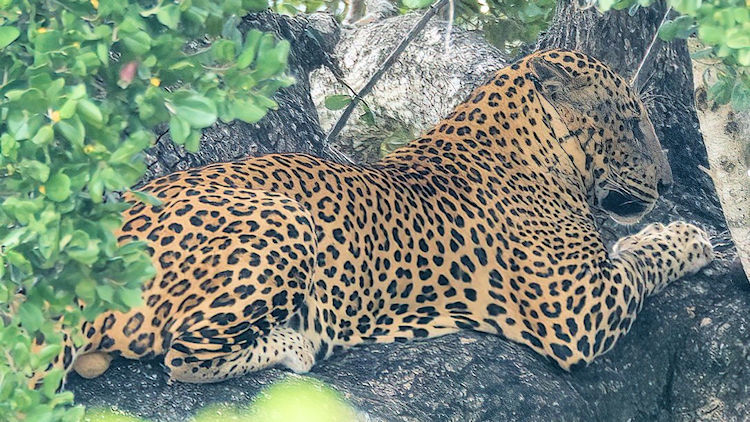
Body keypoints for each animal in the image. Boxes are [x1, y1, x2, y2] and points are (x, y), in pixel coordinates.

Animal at [32, 48, 714, 388]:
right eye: (631, 121)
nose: (670, 183)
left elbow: (631, 250)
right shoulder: (576, 310)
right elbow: (644, 259)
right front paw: (688, 235)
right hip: (281, 219)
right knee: (183, 359)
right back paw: (297, 342)